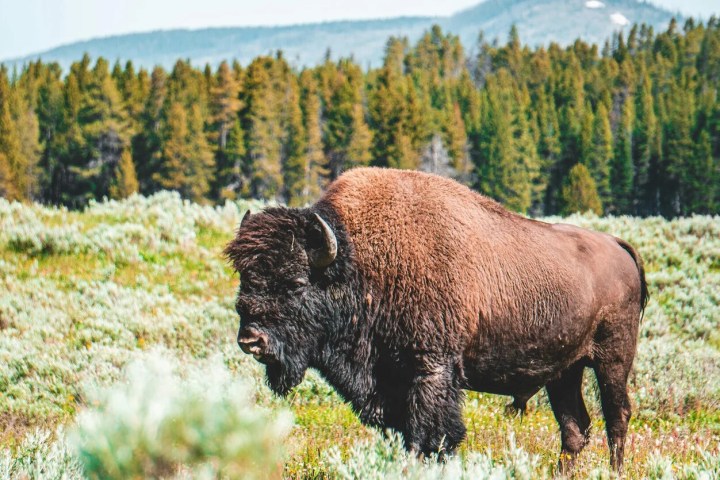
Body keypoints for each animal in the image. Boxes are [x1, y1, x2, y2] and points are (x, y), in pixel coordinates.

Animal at [225, 167, 647, 472]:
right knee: (575, 428)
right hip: (564, 370)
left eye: (296, 283)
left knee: (617, 416)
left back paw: (615, 472)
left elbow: (432, 436)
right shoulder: (388, 386)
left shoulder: (431, 371)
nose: (251, 340)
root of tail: (618, 245)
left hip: (612, 359)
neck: (359, 262)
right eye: (245, 278)